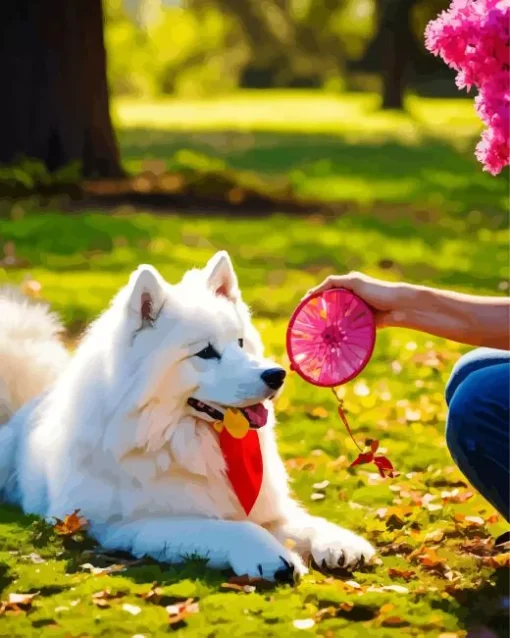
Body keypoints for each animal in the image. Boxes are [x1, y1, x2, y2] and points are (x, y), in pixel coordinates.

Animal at [0, 252, 374, 584]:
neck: (181, 439)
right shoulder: (133, 523)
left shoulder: (265, 508)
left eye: (240, 343)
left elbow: (300, 520)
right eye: (206, 352)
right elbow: (229, 527)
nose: (276, 375)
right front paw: (271, 556)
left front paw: (339, 542)